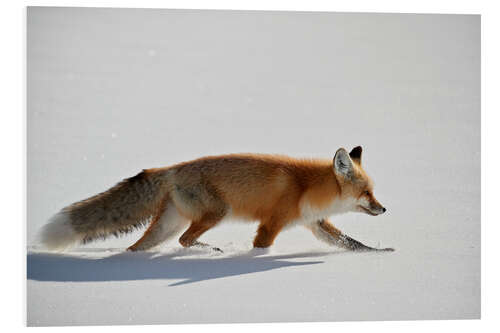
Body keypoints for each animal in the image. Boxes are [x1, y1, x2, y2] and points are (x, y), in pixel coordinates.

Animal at [37, 145, 392, 252]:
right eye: (367, 193)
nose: (384, 208)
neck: (306, 188)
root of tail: (169, 169)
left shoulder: (316, 223)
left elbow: (352, 243)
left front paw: (381, 253)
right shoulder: (271, 224)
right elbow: (262, 247)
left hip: (167, 225)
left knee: (138, 247)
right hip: (216, 213)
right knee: (184, 240)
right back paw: (206, 251)